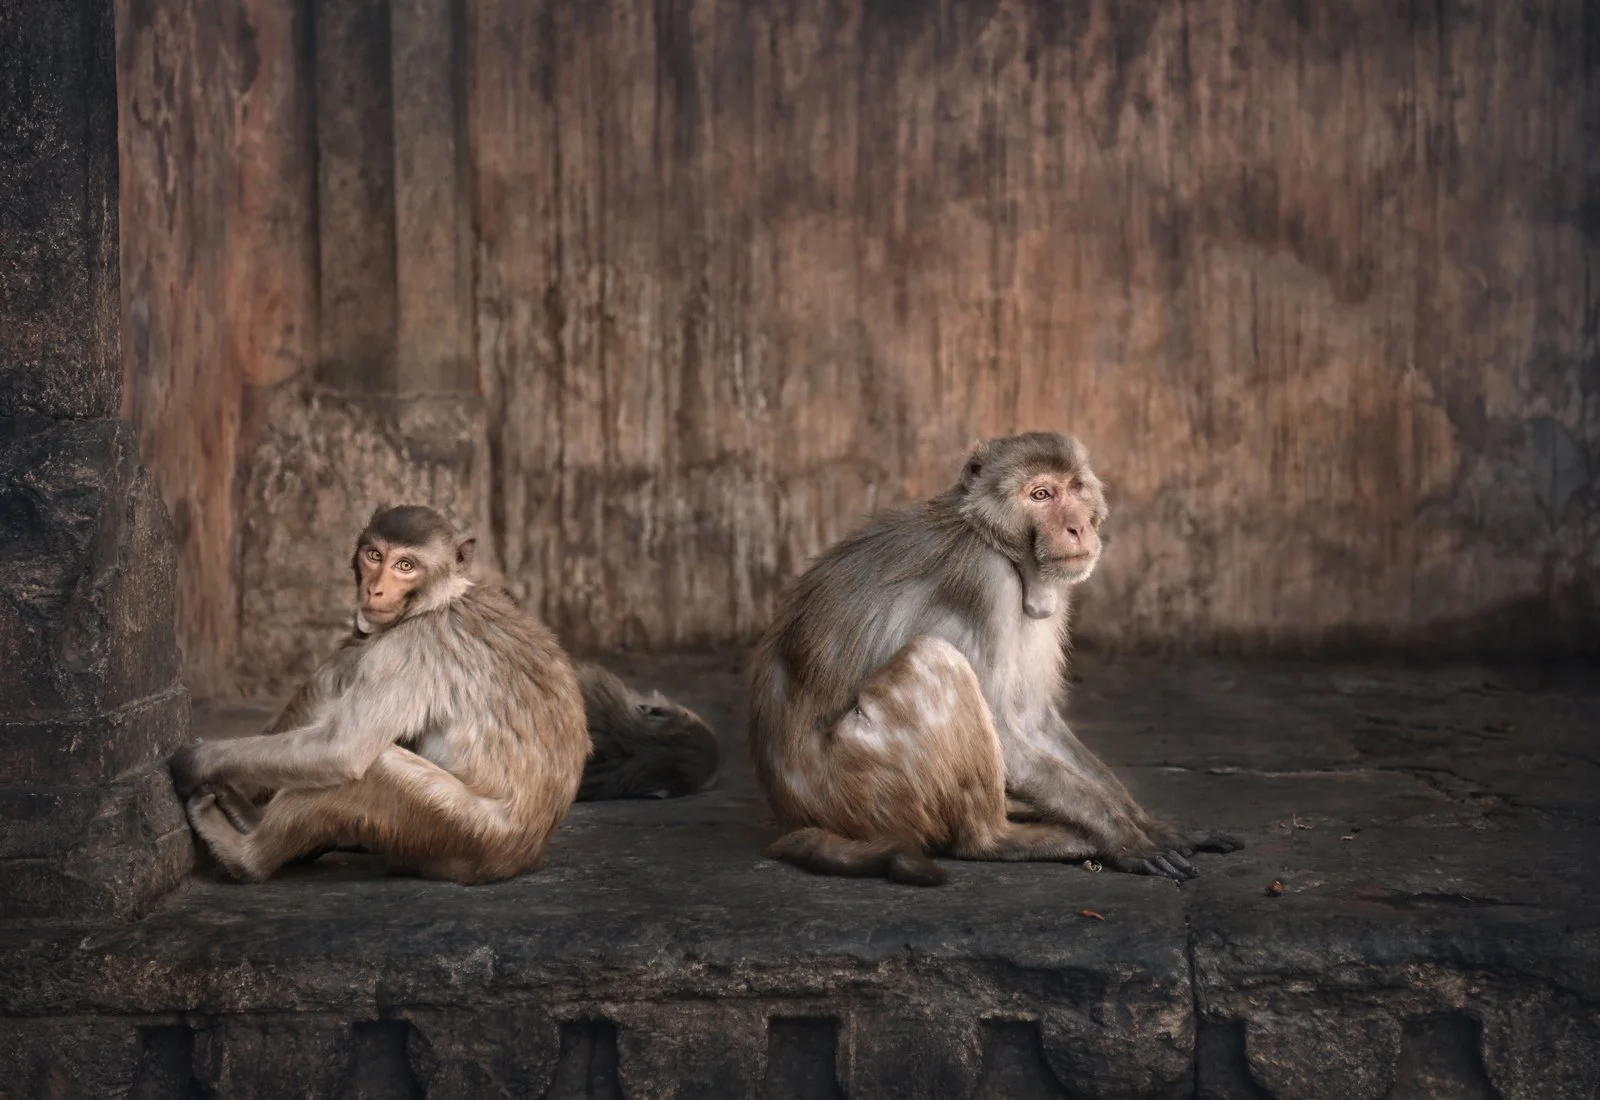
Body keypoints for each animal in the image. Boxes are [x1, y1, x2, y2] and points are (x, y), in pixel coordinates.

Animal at [168, 505, 591, 884]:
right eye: (374, 556)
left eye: (406, 565)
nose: (375, 589)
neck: (436, 602)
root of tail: (524, 857)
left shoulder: (406, 652)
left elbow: (342, 749)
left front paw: (197, 762)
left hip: (466, 836)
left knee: (373, 766)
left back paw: (245, 855)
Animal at [749, 431, 1242, 886]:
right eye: (1041, 495)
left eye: (1074, 487)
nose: (1077, 528)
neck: (999, 544)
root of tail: (792, 813)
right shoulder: (986, 581)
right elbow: (1006, 731)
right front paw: (1124, 837)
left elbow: (1033, 720)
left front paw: (1151, 825)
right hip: (856, 784)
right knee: (933, 660)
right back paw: (999, 839)